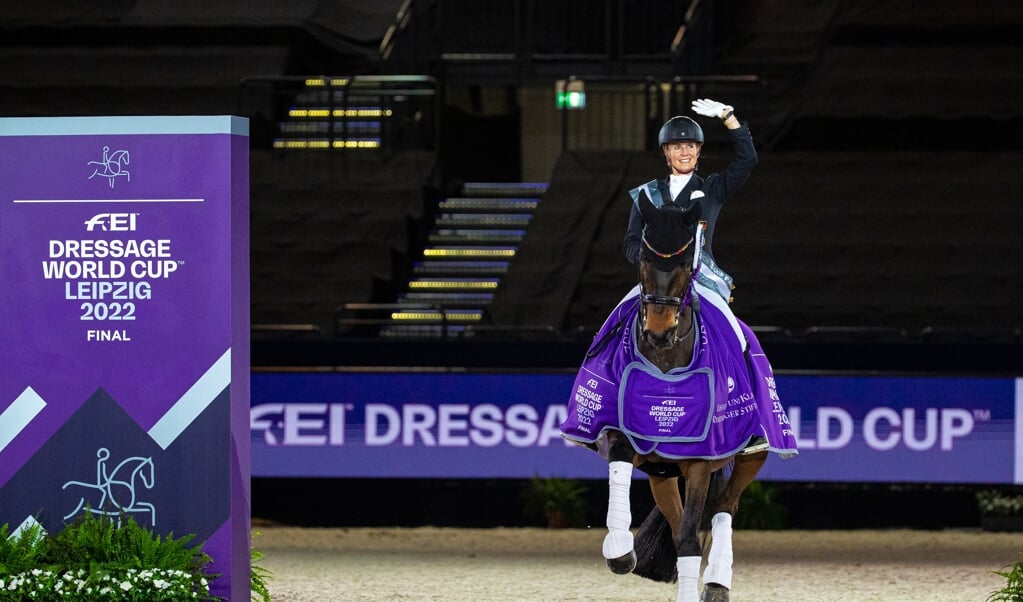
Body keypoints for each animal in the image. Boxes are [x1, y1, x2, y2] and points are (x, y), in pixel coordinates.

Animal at [564, 193, 793, 602]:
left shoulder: (701, 459)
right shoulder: (627, 434)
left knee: (723, 508)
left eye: (686, 263)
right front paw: (619, 550)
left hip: (755, 452)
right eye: (643, 257)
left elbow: (689, 538)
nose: (657, 331)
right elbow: (622, 462)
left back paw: (717, 583)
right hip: (663, 475)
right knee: (678, 521)